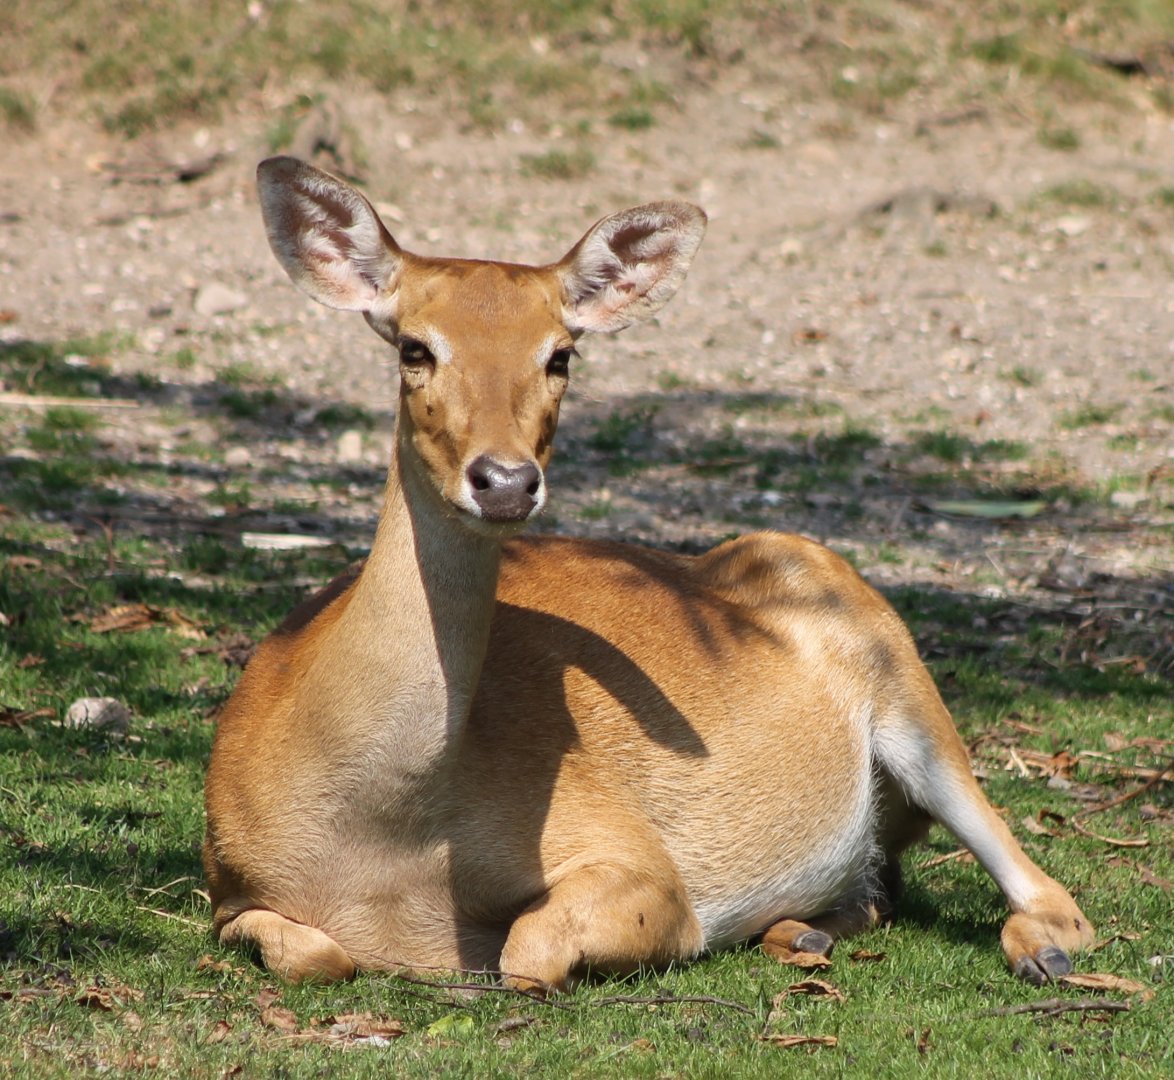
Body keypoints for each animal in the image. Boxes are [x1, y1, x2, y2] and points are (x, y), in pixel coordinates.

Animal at [203, 156, 1095, 994]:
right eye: (415, 347)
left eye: (561, 354)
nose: (506, 480)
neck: (383, 842)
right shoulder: (226, 888)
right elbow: (309, 951)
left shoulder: (634, 858)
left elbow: (529, 951)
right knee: (881, 886)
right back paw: (805, 930)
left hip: (915, 698)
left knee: (1052, 895)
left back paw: (1038, 951)